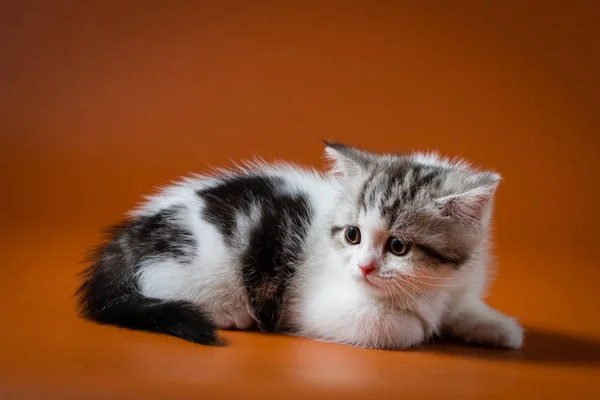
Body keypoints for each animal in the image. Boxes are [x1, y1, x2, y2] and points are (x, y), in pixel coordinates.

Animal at [76, 142, 524, 348]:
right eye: (353, 235)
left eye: (398, 246)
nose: (363, 267)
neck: (428, 288)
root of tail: (129, 235)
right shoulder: (309, 306)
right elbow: (389, 325)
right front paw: (419, 326)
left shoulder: (460, 282)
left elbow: (461, 307)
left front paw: (498, 326)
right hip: (200, 260)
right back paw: (226, 312)